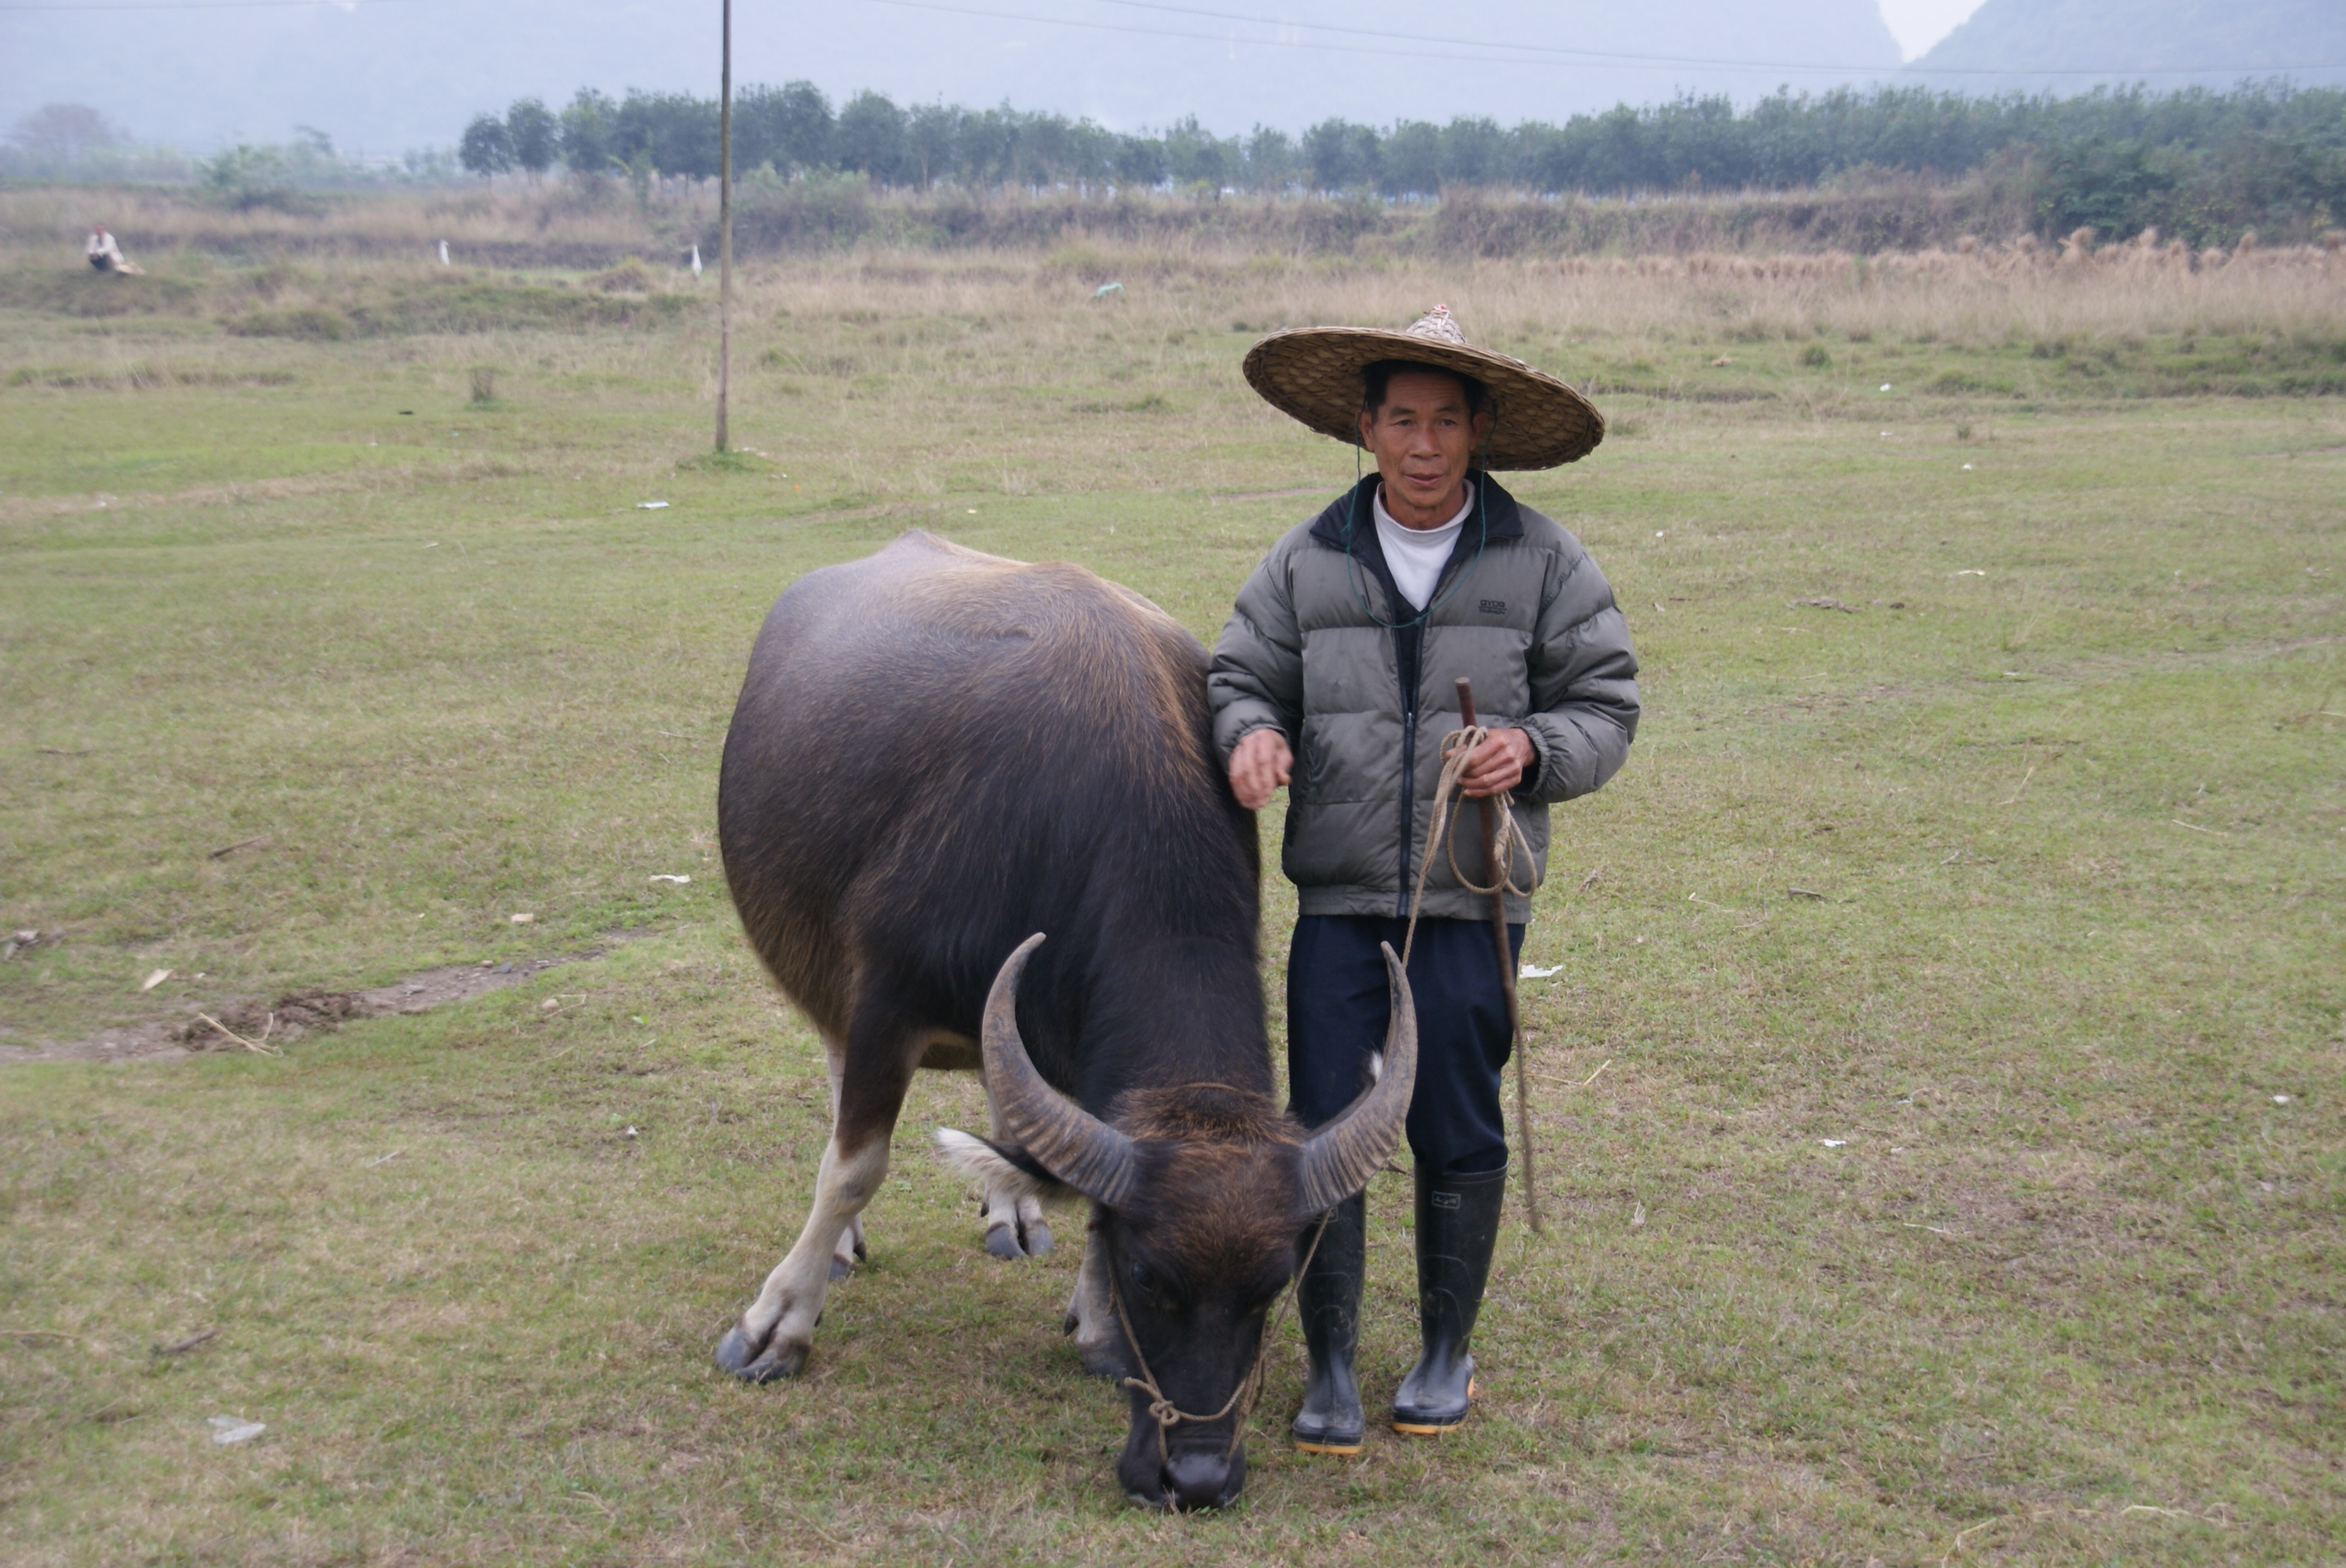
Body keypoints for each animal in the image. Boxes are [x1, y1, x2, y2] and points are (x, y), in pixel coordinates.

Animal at [709, 531, 1417, 1510]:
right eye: (1148, 1277)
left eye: (1273, 1286)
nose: (1198, 1476)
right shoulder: (885, 999)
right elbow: (854, 1167)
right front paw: (777, 1324)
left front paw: (1094, 1325)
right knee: (835, 1077)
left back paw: (1011, 1208)